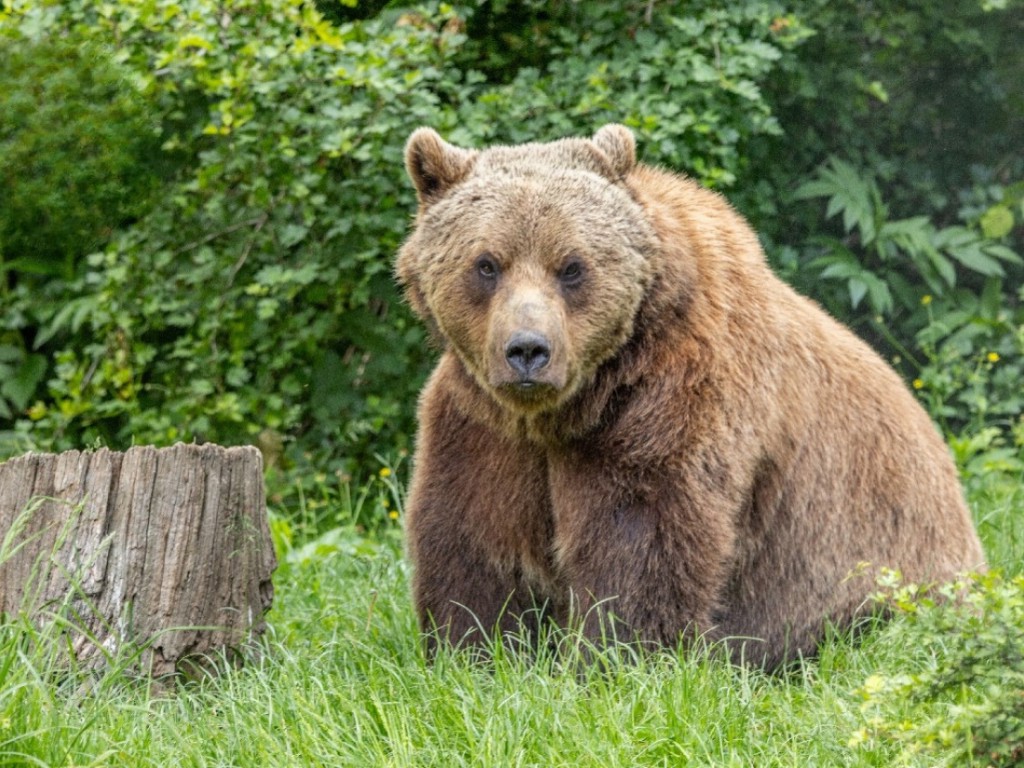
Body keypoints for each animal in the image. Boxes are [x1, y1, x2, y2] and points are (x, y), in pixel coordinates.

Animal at [391, 124, 983, 667]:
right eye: (487, 263)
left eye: (573, 266)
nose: (528, 351)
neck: (567, 410)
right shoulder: (482, 426)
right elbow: (472, 538)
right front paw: (475, 650)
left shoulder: (669, 401)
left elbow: (642, 532)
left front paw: (616, 657)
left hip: (886, 578)